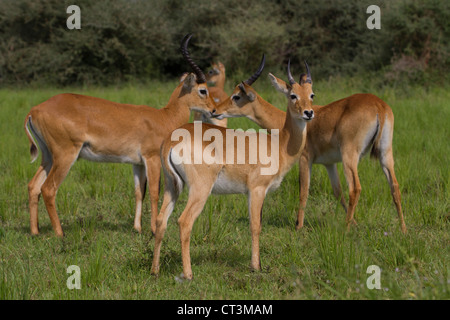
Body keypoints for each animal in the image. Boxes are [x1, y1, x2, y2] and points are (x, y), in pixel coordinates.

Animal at [23, 34, 217, 238]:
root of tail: (35, 110)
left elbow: (139, 192)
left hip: (48, 156)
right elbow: (154, 192)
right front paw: (153, 229)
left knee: (33, 186)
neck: (164, 117)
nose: (213, 110)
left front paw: (137, 228)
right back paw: (60, 233)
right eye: (203, 90)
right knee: (48, 188)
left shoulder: (137, 163)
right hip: (65, 155)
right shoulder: (152, 158)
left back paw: (35, 232)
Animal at [149, 58, 314, 280]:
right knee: (184, 222)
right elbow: (255, 226)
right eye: (293, 95)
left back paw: (155, 270)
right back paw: (188, 274)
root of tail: (171, 140)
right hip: (200, 190)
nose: (308, 113)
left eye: (311, 94)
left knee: (161, 220)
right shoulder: (256, 190)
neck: (279, 144)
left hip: (171, 186)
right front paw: (255, 266)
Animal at [213, 75, 406, 234]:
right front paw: (356, 223)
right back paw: (403, 229)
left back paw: (345, 229)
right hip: (385, 153)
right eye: (294, 94)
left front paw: (299, 226)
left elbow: (304, 190)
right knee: (395, 186)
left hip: (349, 155)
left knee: (355, 188)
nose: (215, 110)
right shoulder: (329, 164)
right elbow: (338, 192)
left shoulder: (305, 159)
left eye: (236, 96)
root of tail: (379, 106)